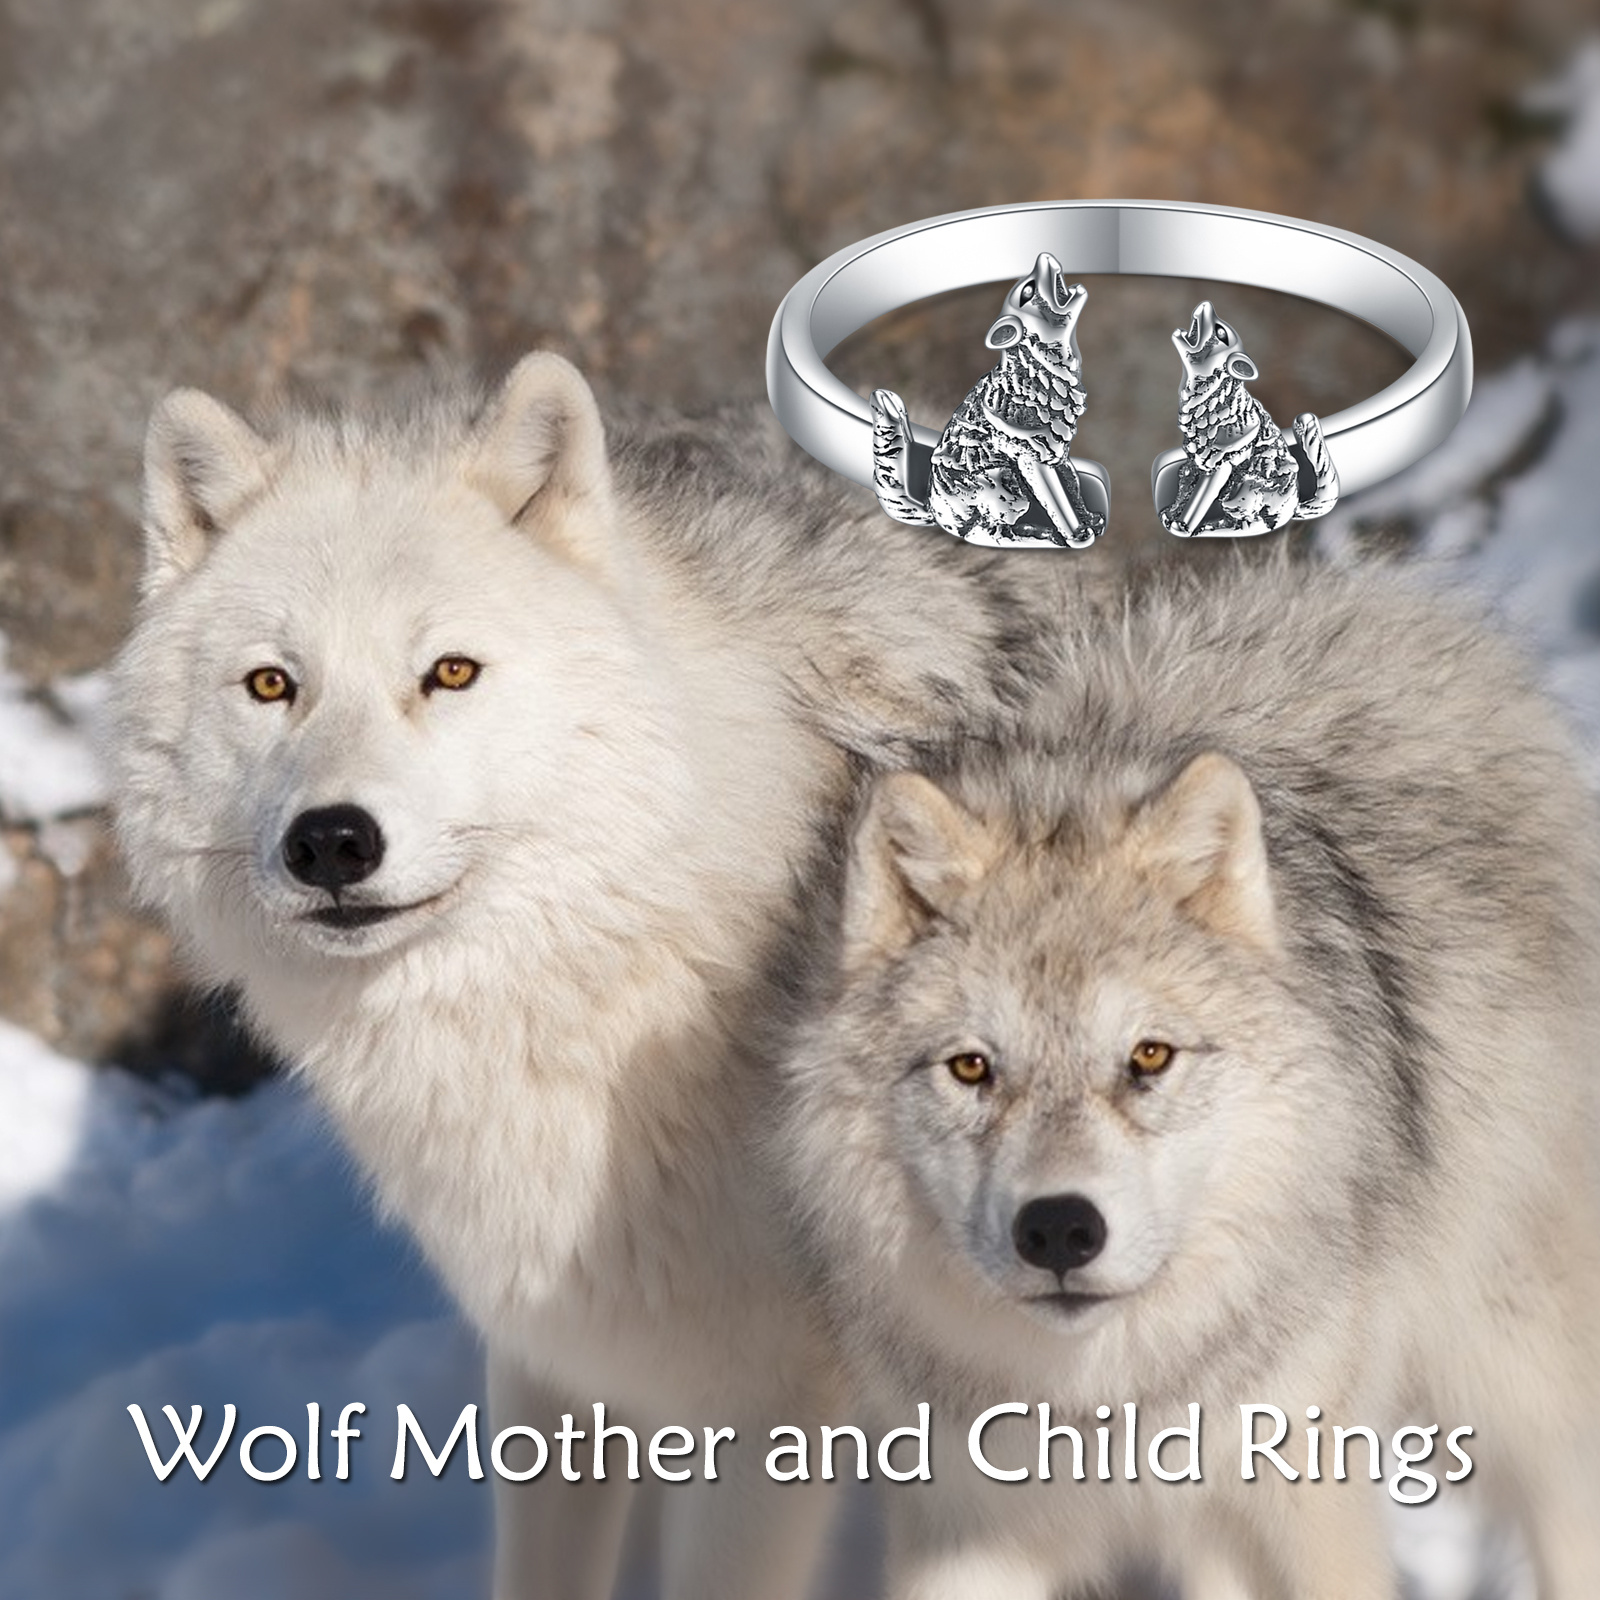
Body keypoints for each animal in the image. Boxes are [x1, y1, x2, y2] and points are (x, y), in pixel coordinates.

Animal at [776, 554, 1600, 1600]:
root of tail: (1398, 607)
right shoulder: (968, 1528)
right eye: (972, 1068)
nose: (1058, 1229)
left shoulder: (1304, 1500)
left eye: (1149, 1057)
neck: (1110, 1400)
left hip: (1523, 1387)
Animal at [872, 252, 1105, 548]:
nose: (1044, 256)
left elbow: (1072, 487)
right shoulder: (1031, 461)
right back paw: (1041, 537)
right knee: (986, 533)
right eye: (1028, 291)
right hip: (1004, 480)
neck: (1038, 373)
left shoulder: (1058, 452)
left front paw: (1089, 519)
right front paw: (1076, 536)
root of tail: (934, 512)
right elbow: (1058, 504)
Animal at [1158, 301, 1338, 537]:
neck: (1213, 400)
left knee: (1251, 523)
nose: (1206, 304)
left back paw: (1213, 528)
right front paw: (1170, 516)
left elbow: (1198, 502)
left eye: (1220, 332)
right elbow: (1185, 486)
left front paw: (1183, 527)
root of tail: (1294, 507)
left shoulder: (1219, 468)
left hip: (1245, 484)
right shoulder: (1195, 461)